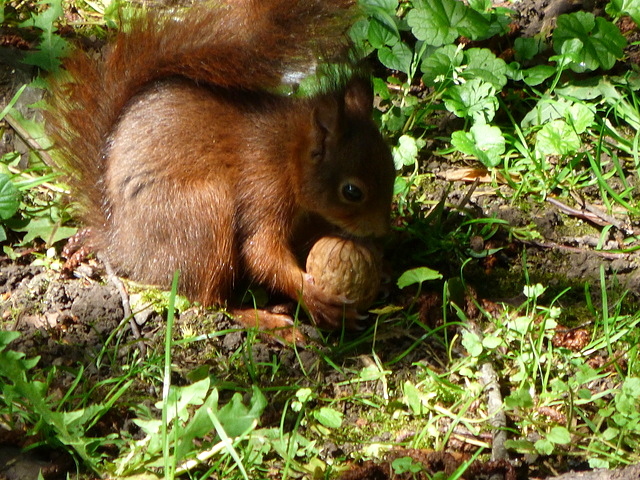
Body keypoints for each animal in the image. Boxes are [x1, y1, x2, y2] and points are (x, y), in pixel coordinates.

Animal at [45, 0, 395, 332]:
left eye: (392, 168)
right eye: (352, 191)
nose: (382, 232)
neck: (289, 155)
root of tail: (123, 243)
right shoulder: (264, 189)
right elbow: (260, 253)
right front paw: (314, 298)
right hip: (204, 215)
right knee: (210, 302)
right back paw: (262, 319)